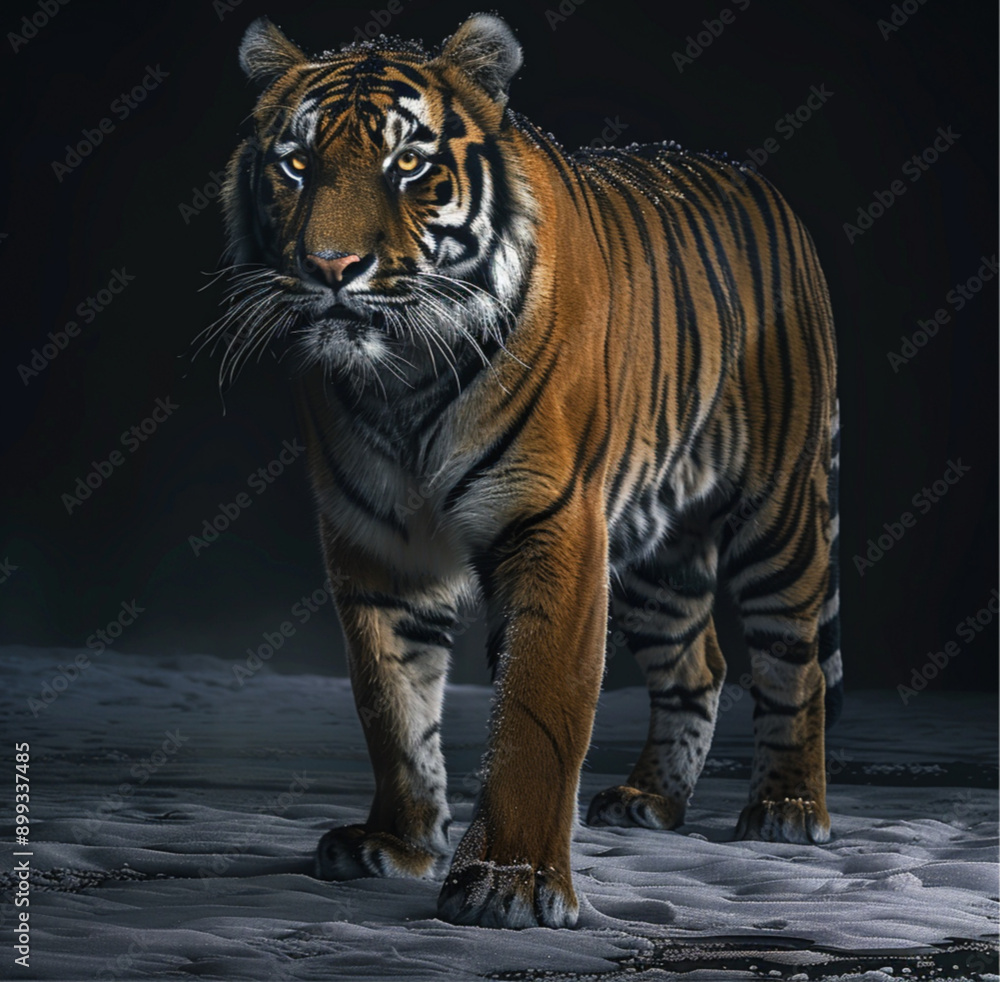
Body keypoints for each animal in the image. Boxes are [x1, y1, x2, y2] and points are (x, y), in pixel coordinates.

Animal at [216, 12, 842, 929]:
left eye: (409, 164)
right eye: (296, 164)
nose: (331, 268)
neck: (401, 380)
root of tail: (765, 186)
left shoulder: (553, 526)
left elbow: (535, 717)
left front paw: (508, 881)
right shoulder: (376, 550)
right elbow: (390, 705)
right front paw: (396, 841)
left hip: (780, 515)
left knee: (792, 663)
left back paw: (789, 809)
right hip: (657, 550)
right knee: (699, 663)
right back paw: (650, 801)